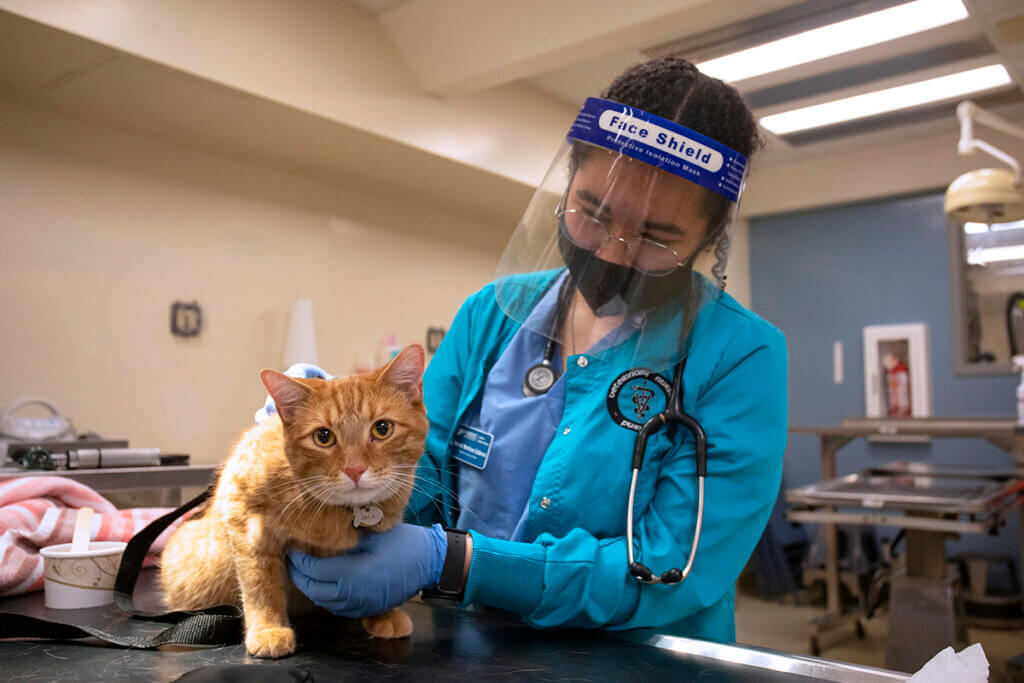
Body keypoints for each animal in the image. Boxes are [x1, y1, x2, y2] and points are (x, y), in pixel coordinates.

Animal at [158, 344, 428, 659]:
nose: (355, 470)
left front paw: (383, 612)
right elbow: (261, 585)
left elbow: (377, 580)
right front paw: (268, 629)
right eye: (323, 437)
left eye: (382, 429)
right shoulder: (247, 527)